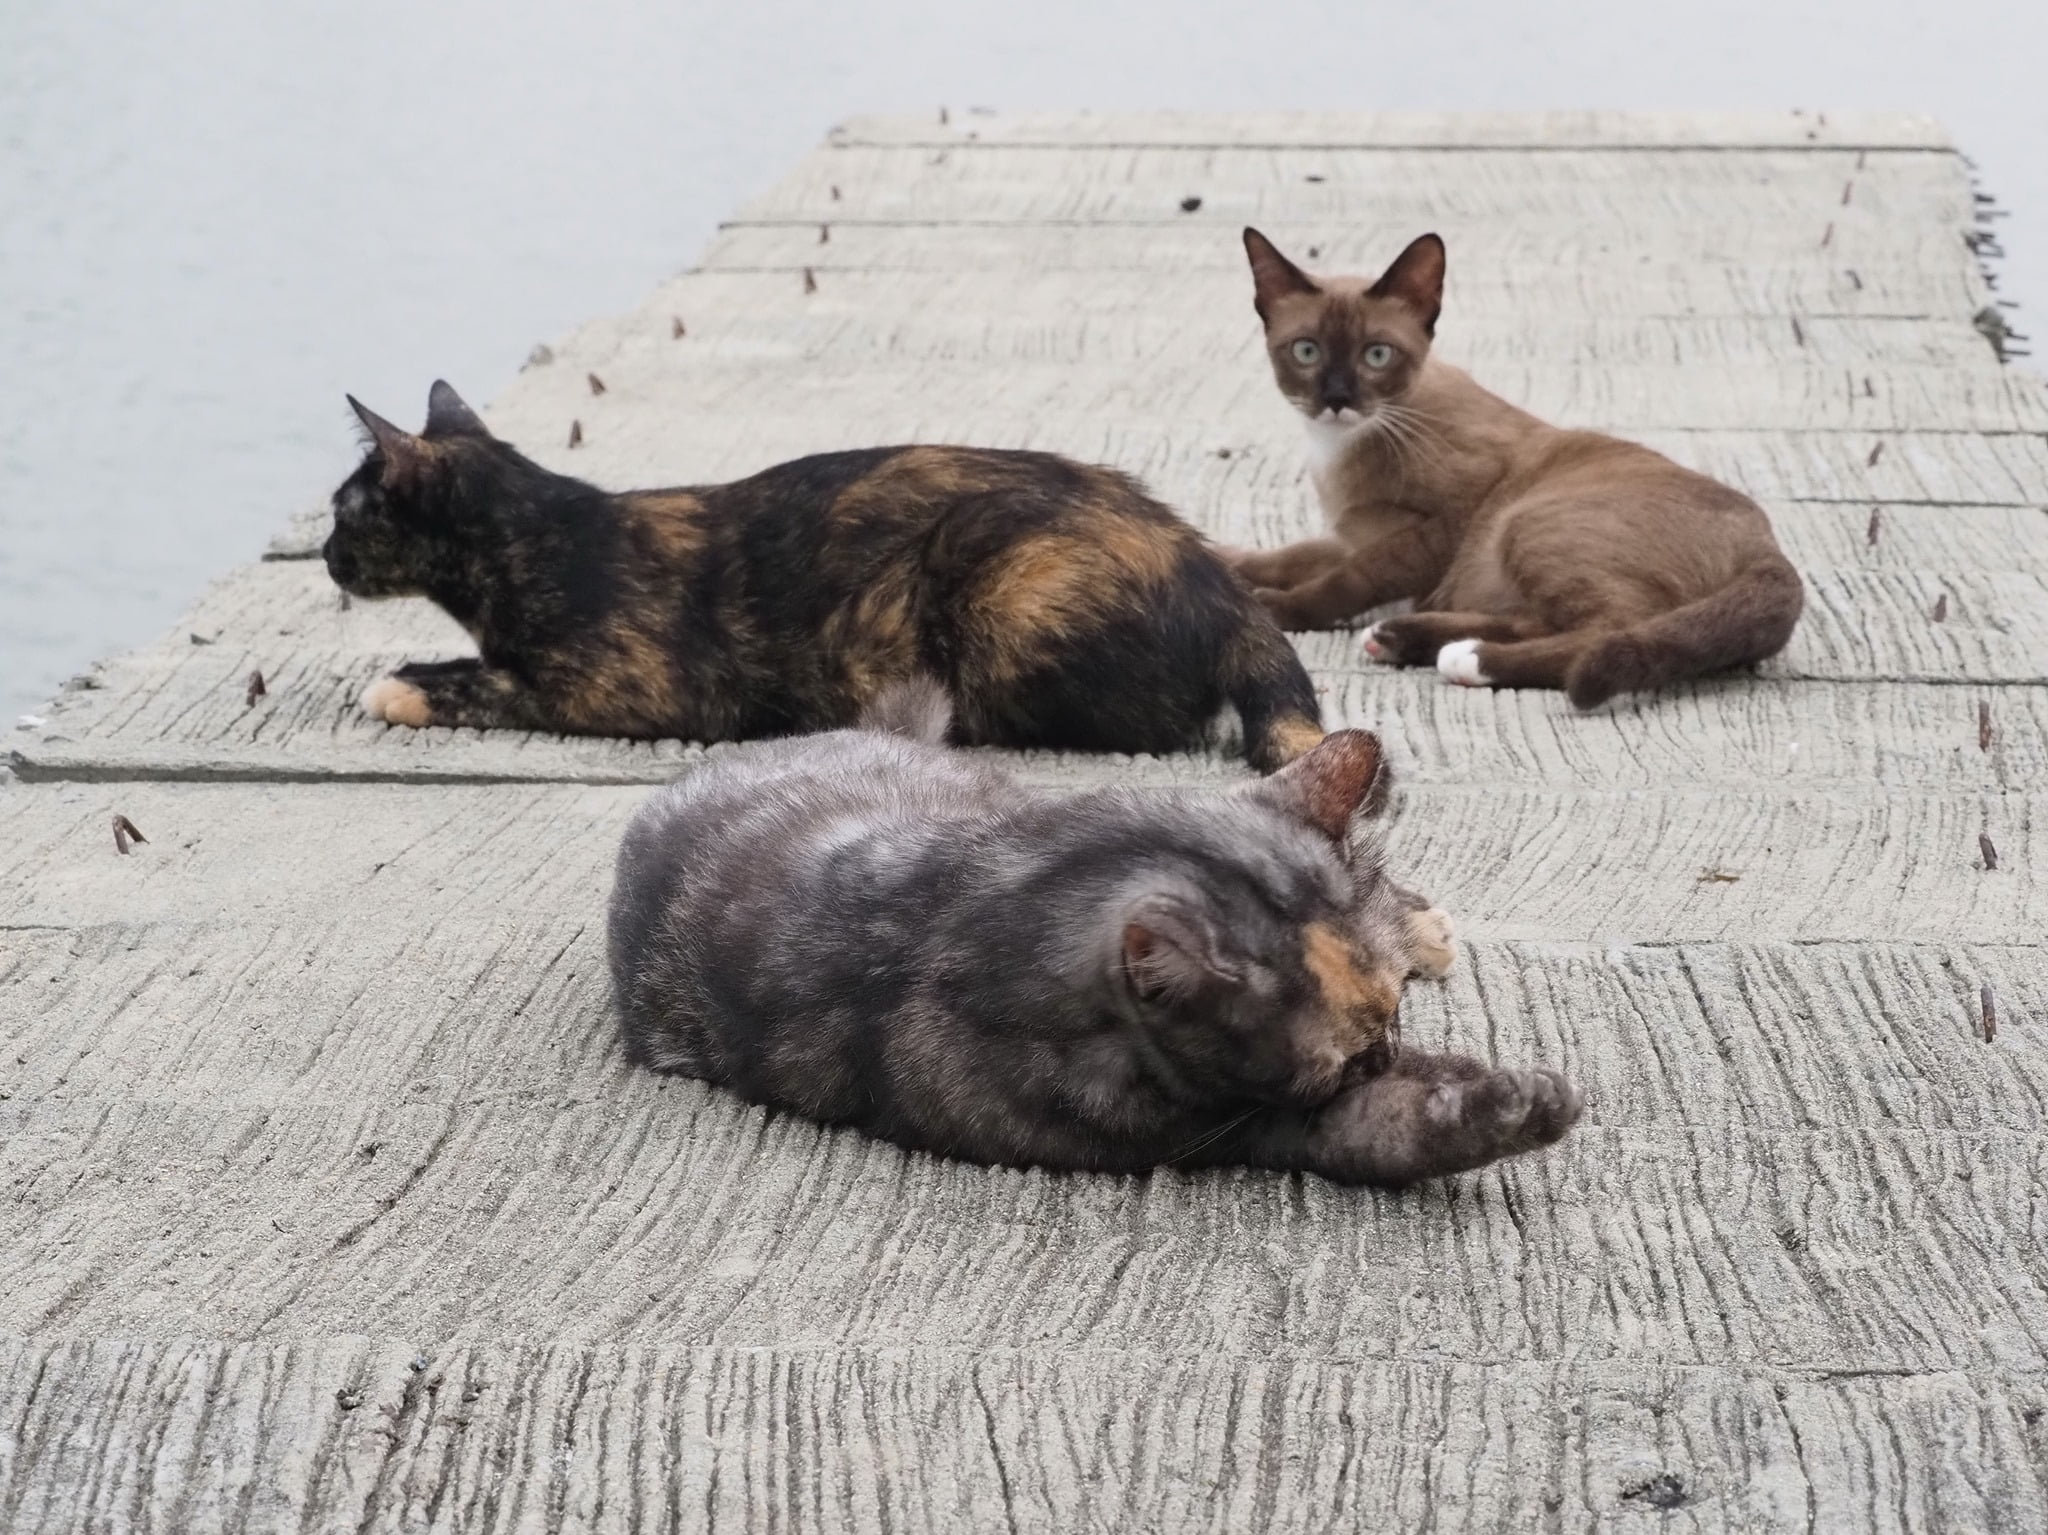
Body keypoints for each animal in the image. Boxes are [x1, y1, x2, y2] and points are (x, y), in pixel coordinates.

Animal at [326, 382, 1324, 771]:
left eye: (341, 511)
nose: (328, 557)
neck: (538, 536)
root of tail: (1216, 577)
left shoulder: (628, 689)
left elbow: (492, 684)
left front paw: (402, 687)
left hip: (1005, 589)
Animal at [607, 684, 1582, 1187]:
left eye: (1388, 1022)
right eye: (1339, 1067)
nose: (1385, 1053)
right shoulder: (1243, 1129)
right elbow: (1393, 1131)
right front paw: (1518, 1100)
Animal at [1222, 229, 1803, 707]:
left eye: (1377, 356)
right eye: (1306, 352)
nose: (1337, 399)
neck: (1343, 443)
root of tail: (1769, 546)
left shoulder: (1440, 529)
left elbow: (1349, 578)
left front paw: (1276, 608)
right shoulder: (1352, 532)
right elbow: (1287, 556)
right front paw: (1228, 566)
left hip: (1523, 522)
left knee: (1604, 630)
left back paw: (1468, 659)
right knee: (1541, 619)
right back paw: (1403, 638)